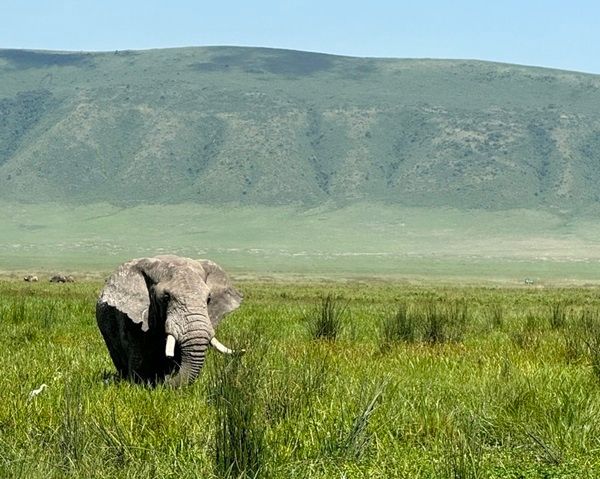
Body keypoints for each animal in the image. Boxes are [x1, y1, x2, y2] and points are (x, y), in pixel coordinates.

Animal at [96, 255, 241, 386]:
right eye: (166, 297)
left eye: (209, 299)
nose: (164, 381)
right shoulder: (130, 318)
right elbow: (138, 356)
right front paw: (140, 384)